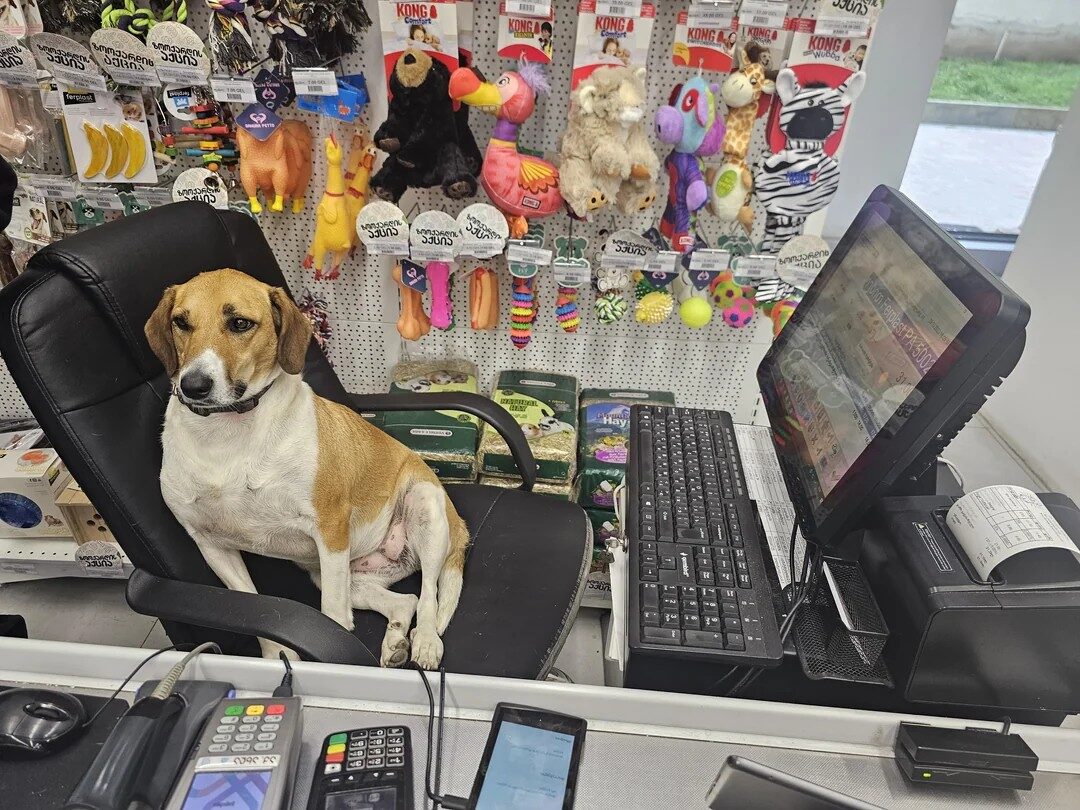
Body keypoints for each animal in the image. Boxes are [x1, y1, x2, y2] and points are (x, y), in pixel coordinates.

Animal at [142, 270, 464, 669]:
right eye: (181, 322)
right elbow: (255, 610)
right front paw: (275, 656)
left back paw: (426, 642)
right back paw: (395, 644)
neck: (225, 434)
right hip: (341, 575)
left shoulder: (330, 530)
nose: (194, 385)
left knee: (429, 593)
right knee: (406, 600)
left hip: (423, 509)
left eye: (240, 323)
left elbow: (335, 617)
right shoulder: (210, 545)